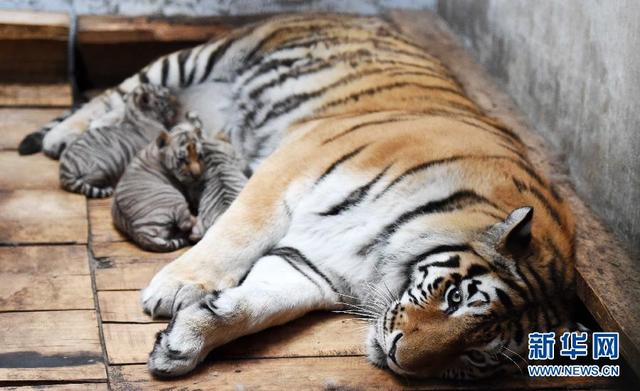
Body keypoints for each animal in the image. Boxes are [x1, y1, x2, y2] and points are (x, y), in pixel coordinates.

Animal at [22, 13, 576, 378]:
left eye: (478, 354)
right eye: (457, 297)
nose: (400, 359)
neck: (383, 257)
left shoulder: (313, 267)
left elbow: (253, 306)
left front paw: (184, 341)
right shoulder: (291, 165)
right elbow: (234, 234)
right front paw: (177, 288)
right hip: (193, 60)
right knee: (115, 92)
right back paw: (59, 136)